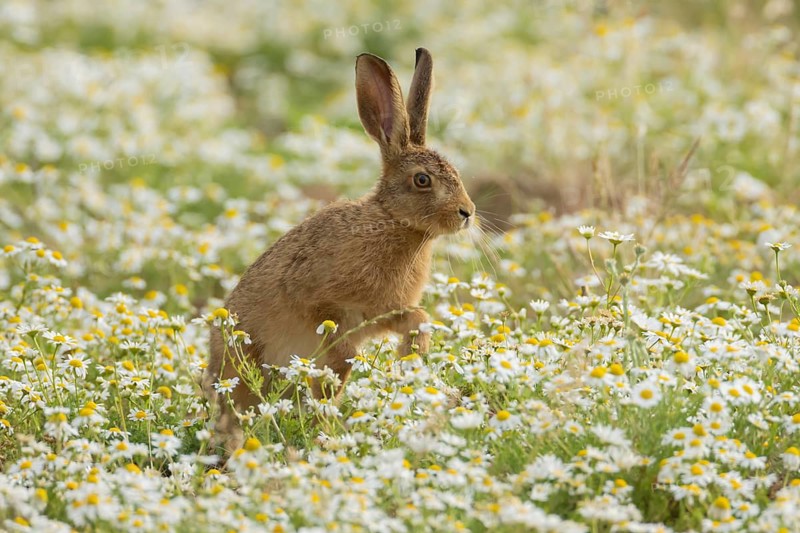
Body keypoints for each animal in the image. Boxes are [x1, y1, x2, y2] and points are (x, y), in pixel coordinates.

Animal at [202, 48, 476, 456]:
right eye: (422, 180)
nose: (467, 213)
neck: (392, 221)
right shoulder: (319, 297)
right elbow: (333, 333)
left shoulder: (384, 310)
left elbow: (417, 316)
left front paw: (411, 354)